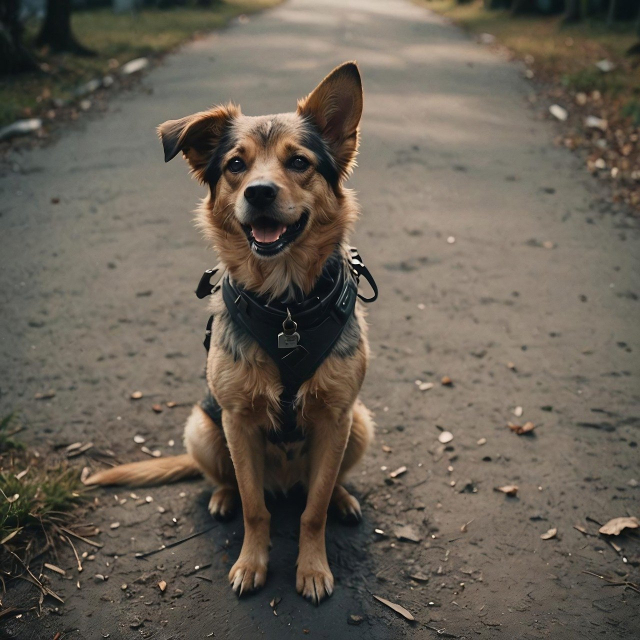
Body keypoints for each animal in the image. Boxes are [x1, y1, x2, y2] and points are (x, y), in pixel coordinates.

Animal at [85, 61, 376, 604]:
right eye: (236, 165)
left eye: (299, 162)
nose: (259, 192)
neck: (286, 308)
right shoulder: (237, 422)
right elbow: (255, 507)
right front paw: (251, 563)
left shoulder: (336, 417)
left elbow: (313, 512)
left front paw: (312, 568)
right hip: (203, 428)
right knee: (233, 484)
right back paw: (222, 497)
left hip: (360, 423)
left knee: (319, 488)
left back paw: (343, 497)